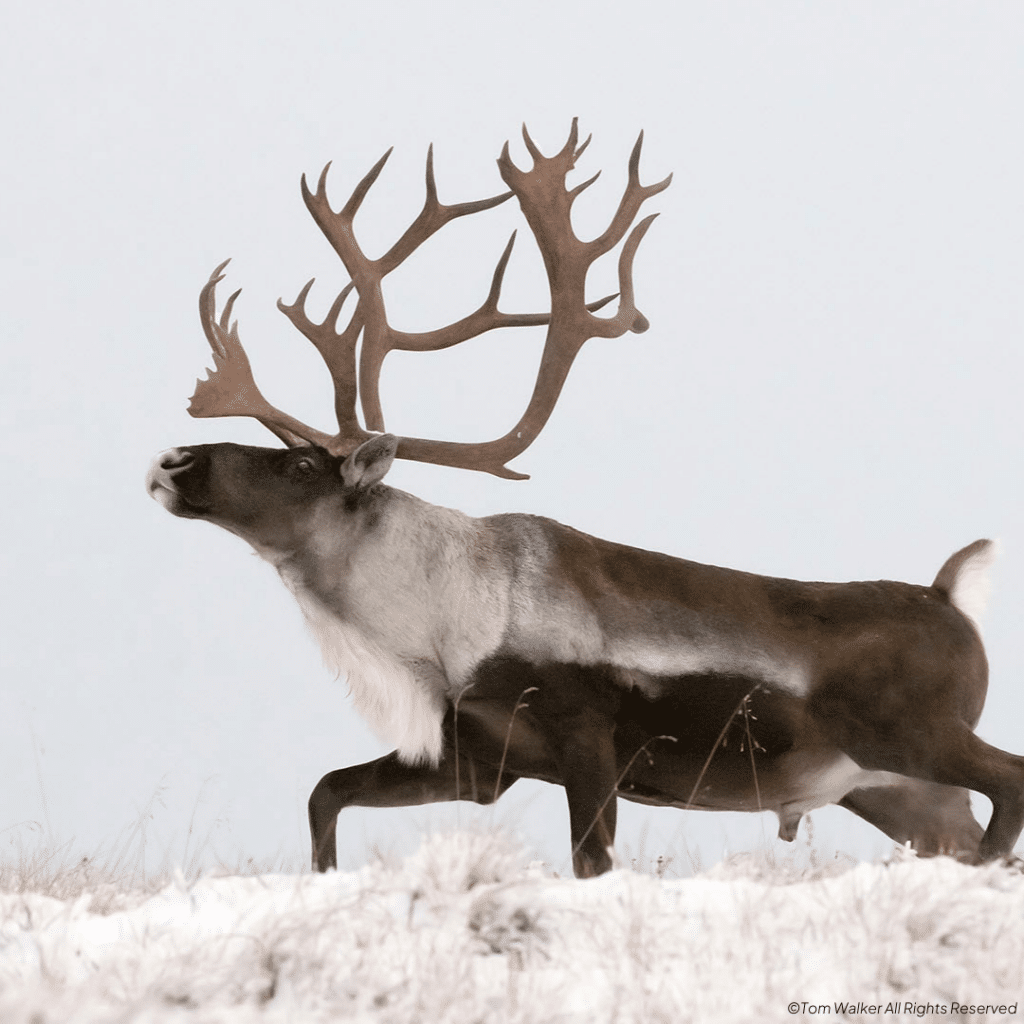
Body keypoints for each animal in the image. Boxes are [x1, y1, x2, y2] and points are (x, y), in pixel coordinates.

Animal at [147, 121, 1024, 877]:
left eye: (302, 466)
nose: (172, 458)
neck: (441, 627)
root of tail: (952, 595)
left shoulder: (586, 736)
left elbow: (591, 861)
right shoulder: (480, 761)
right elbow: (324, 792)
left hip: (913, 736)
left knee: (1009, 783)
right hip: (894, 789)